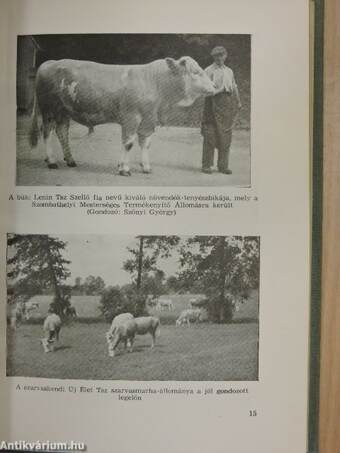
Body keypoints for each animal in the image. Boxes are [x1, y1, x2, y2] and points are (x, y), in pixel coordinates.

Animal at [29, 56, 215, 175]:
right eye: (196, 72)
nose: (214, 86)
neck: (154, 82)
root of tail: (51, 62)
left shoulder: (148, 120)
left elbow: (145, 143)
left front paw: (146, 167)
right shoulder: (131, 118)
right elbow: (128, 143)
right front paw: (124, 169)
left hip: (64, 111)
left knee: (62, 131)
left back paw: (70, 160)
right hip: (48, 110)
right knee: (47, 132)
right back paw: (52, 161)